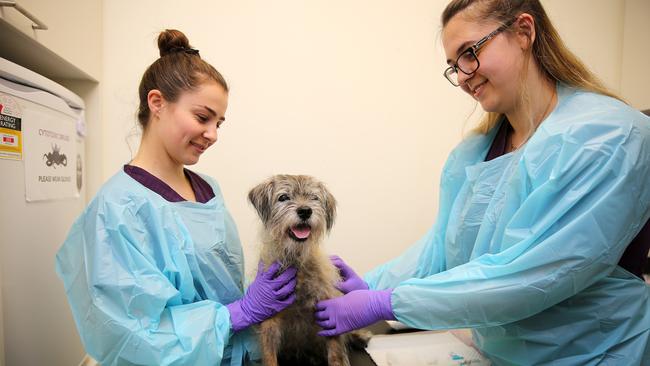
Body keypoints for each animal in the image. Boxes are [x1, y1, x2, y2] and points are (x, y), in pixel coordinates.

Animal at [248, 174, 368, 366]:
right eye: (283, 197)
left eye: (314, 198)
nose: (305, 211)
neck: (296, 260)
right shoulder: (270, 319)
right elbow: (269, 353)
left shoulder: (328, 312)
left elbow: (335, 350)